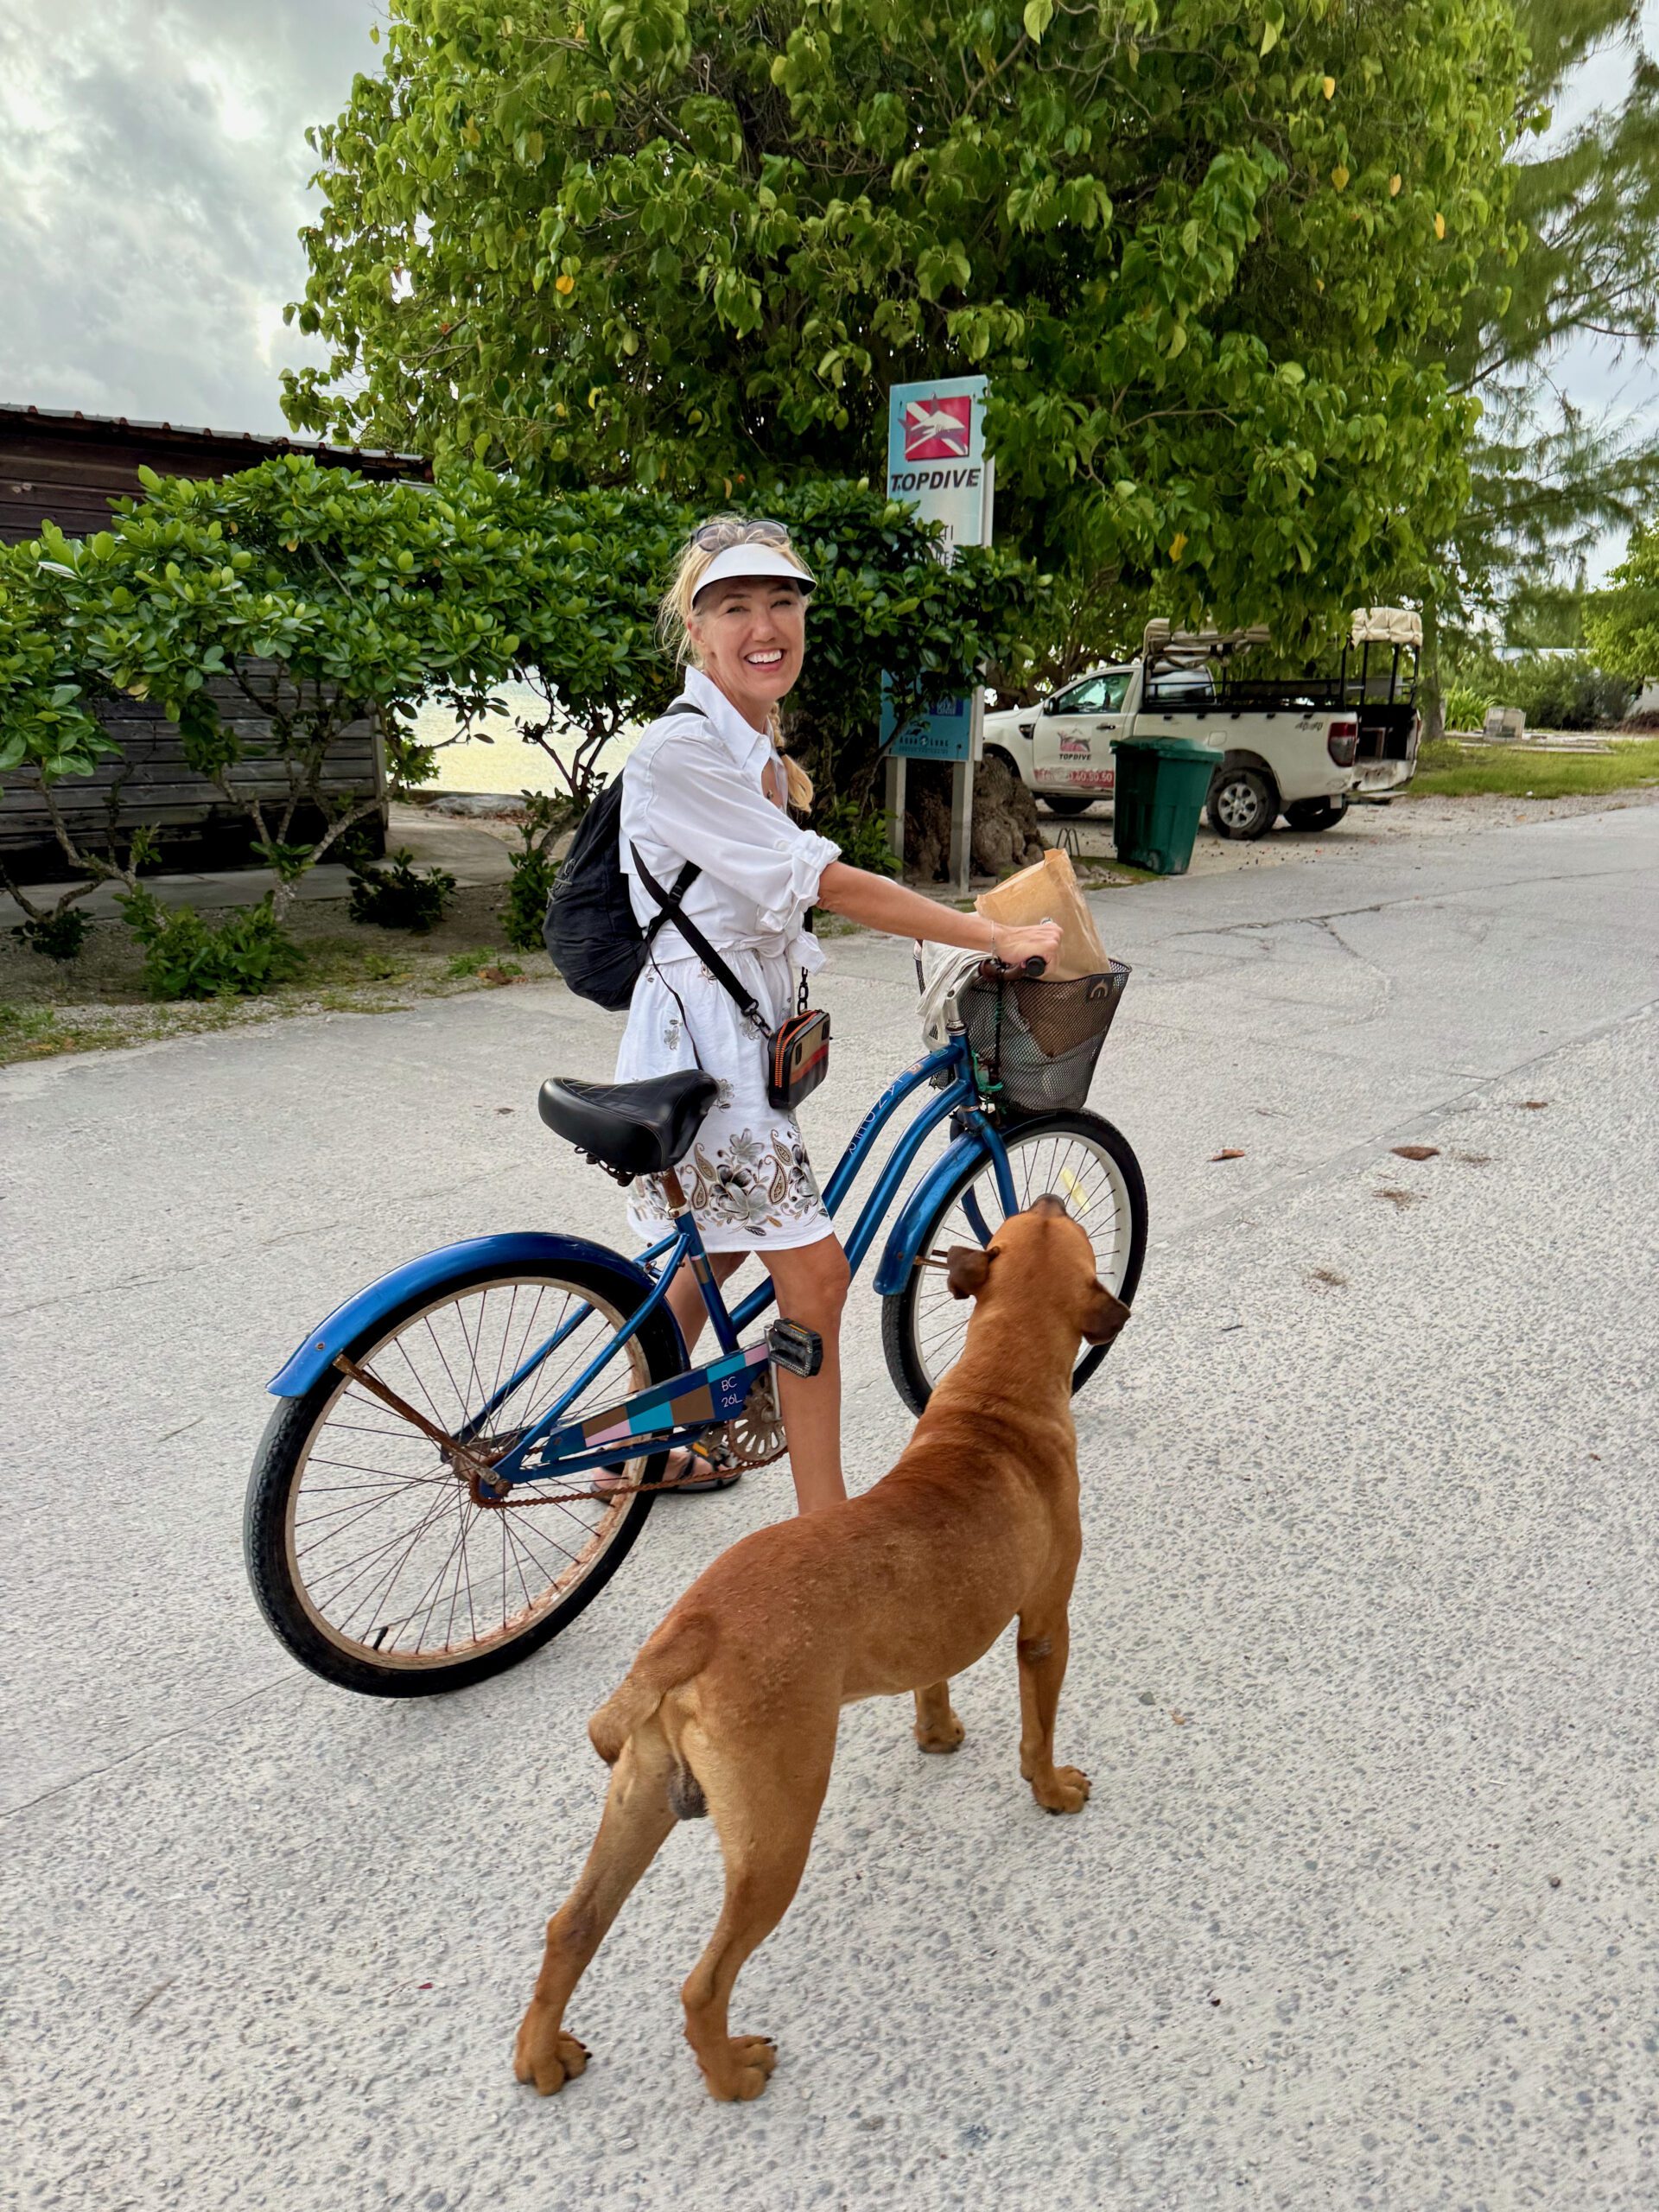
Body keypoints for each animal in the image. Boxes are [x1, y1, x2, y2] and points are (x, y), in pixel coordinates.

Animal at [512, 1194, 1130, 2104]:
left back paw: (541, 2054)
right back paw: (731, 2073)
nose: (1052, 1195)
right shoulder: (1046, 1624)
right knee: (702, 1985)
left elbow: (933, 1680)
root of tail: (692, 1630)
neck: (995, 1402)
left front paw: (938, 1736)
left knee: (571, 1925)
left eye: (1026, 1219)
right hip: (776, 1834)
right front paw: (1051, 1789)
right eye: (1063, 1230)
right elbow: (1038, 1731)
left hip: (640, 1799)